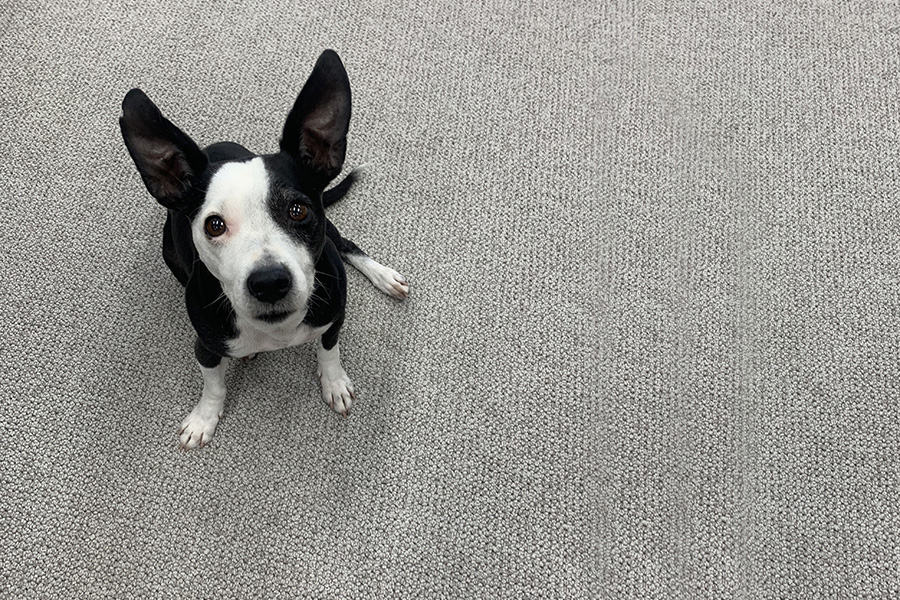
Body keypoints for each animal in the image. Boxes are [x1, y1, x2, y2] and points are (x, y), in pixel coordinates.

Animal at [118, 49, 408, 448]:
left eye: (298, 210)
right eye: (214, 225)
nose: (270, 283)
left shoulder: (334, 318)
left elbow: (329, 351)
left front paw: (334, 383)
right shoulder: (206, 347)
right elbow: (213, 386)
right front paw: (204, 418)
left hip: (331, 241)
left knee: (346, 244)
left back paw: (384, 276)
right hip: (170, 253)